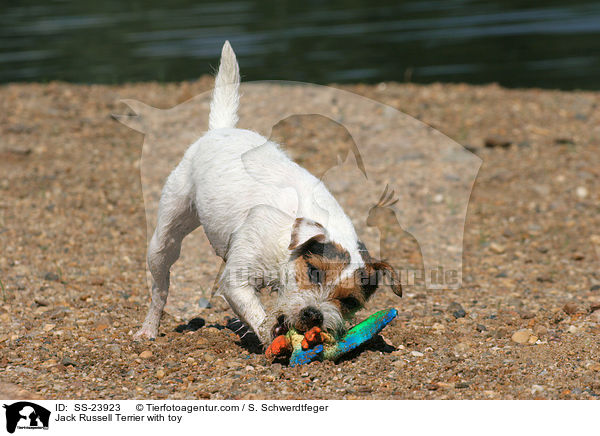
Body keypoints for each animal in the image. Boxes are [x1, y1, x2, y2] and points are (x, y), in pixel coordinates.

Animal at [134, 41, 400, 348]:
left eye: (349, 301)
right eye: (314, 272)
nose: (314, 314)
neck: (288, 242)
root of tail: (222, 129)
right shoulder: (236, 279)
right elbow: (252, 308)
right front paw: (269, 332)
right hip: (165, 238)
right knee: (160, 289)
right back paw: (149, 327)